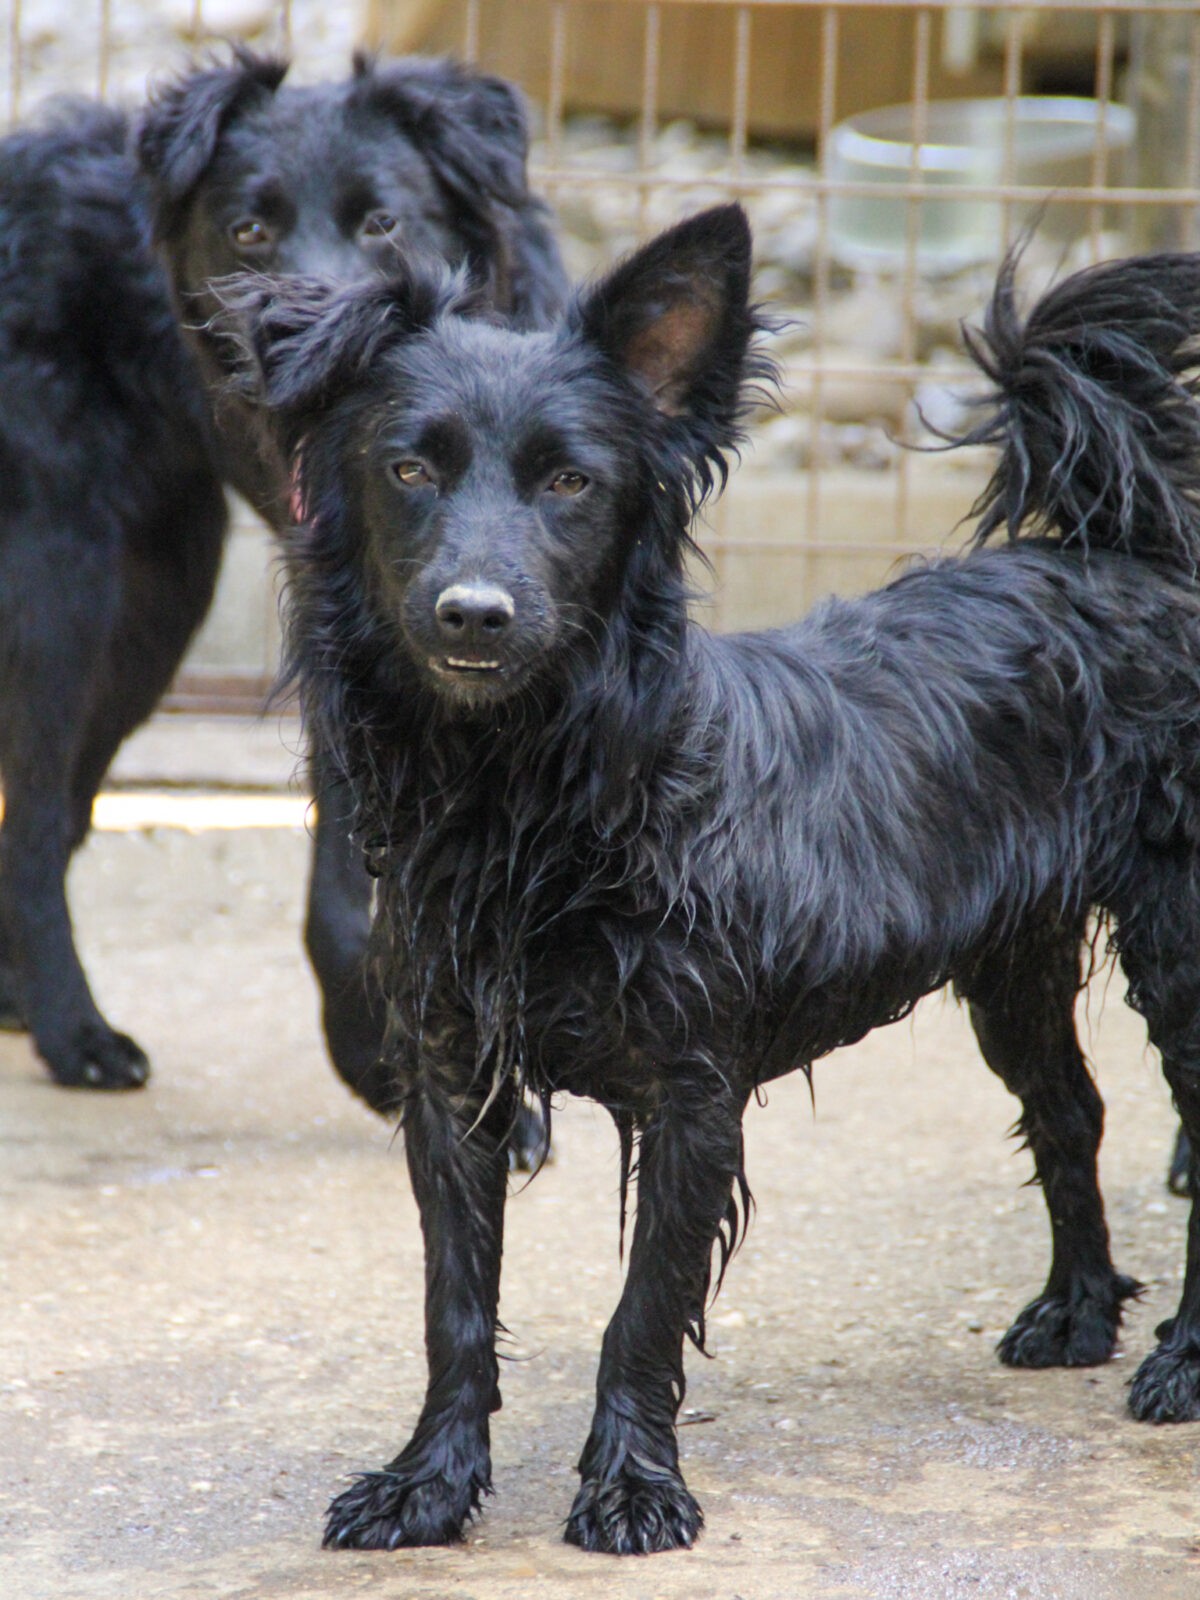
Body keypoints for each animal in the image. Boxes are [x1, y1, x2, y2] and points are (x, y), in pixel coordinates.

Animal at [0, 46, 569, 1100]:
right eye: (249, 231)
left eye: (383, 223)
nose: (309, 356)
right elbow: (346, 898)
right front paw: (374, 1050)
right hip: (67, 588)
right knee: (33, 825)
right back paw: (75, 1032)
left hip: (155, 608)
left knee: (56, 811)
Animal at [227, 206, 1200, 1555]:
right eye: (409, 470)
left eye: (571, 482)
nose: (474, 613)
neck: (529, 799)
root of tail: (1123, 557)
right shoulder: (453, 1083)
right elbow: (454, 1303)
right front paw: (428, 1481)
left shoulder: (691, 1095)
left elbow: (642, 1309)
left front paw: (632, 1488)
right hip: (1013, 968)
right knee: (1071, 1115)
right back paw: (1079, 1310)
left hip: (1175, 946)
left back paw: (1183, 1359)